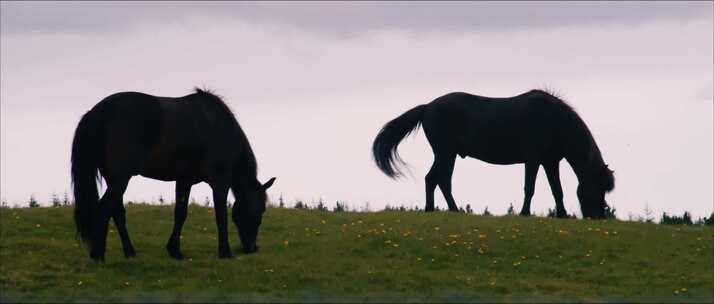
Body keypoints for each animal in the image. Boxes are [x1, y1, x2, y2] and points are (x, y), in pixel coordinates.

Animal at [70, 88, 276, 262]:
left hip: (113, 178)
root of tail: (96, 113)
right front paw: (225, 252)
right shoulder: (220, 182)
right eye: (260, 210)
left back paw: (129, 252)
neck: (217, 127)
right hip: (120, 178)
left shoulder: (184, 180)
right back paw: (98, 255)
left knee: (117, 212)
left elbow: (180, 214)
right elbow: (221, 216)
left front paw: (174, 250)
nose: (252, 248)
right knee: (104, 209)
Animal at [372, 89, 612, 218]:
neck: (555, 121)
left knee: (431, 179)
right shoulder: (533, 160)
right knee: (443, 180)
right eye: (598, 186)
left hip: (443, 154)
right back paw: (455, 210)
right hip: (446, 153)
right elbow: (529, 188)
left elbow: (557, 190)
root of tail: (427, 107)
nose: (598, 216)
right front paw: (525, 213)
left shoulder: (550, 162)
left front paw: (561, 215)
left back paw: (430, 209)